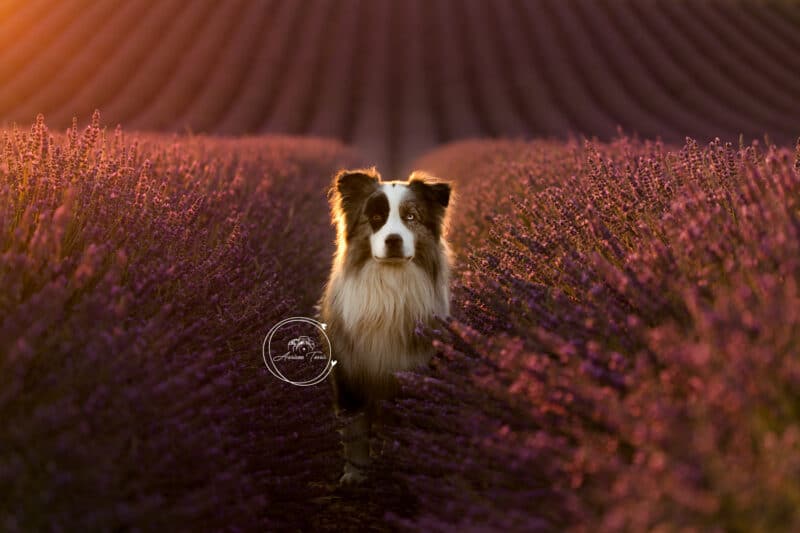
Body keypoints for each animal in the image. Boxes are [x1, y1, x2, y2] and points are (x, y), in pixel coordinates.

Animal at [320, 168, 456, 484]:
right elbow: (355, 430)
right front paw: (355, 474)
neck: (391, 287)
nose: (393, 240)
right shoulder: (350, 372)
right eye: (376, 217)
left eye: (411, 216)